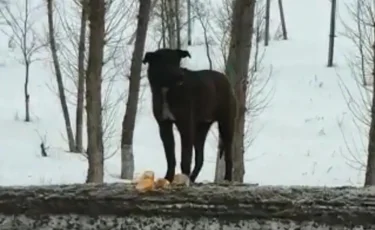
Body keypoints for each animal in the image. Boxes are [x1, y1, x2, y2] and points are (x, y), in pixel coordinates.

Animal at [142, 48, 236, 183]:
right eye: (165, 62)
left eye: (177, 62)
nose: (181, 76)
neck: (167, 90)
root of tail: (225, 78)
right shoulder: (164, 126)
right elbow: (170, 158)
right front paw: (168, 178)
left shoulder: (185, 126)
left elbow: (185, 158)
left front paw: (183, 178)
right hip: (200, 130)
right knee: (200, 159)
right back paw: (192, 178)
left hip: (226, 125)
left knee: (228, 155)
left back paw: (227, 178)